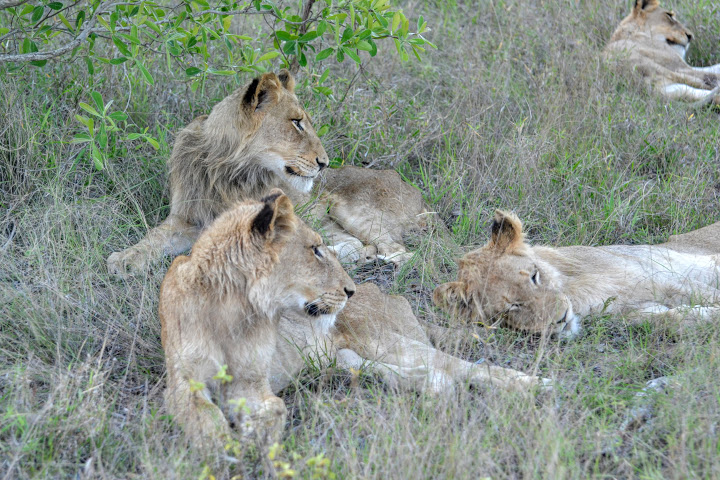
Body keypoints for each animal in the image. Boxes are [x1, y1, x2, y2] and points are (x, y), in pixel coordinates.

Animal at [108, 68, 428, 278]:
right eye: (296, 122)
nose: (324, 163)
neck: (229, 171)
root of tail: (414, 191)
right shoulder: (186, 218)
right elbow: (154, 236)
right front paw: (124, 259)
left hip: (356, 212)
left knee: (403, 253)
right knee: (357, 246)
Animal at [160, 192, 548, 446]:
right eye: (316, 250)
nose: (350, 290)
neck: (234, 307)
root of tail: (387, 293)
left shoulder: (252, 382)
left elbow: (272, 410)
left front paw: (253, 443)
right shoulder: (183, 382)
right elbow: (204, 420)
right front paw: (226, 446)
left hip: (383, 339)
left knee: (465, 367)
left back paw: (531, 384)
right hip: (342, 356)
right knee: (389, 369)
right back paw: (433, 387)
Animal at [434, 212, 720, 340]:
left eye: (534, 277)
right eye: (512, 307)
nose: (561, 319)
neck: (576, 294)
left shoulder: (662, 278)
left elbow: (704, 294)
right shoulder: (636, 312)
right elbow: (674, 319)